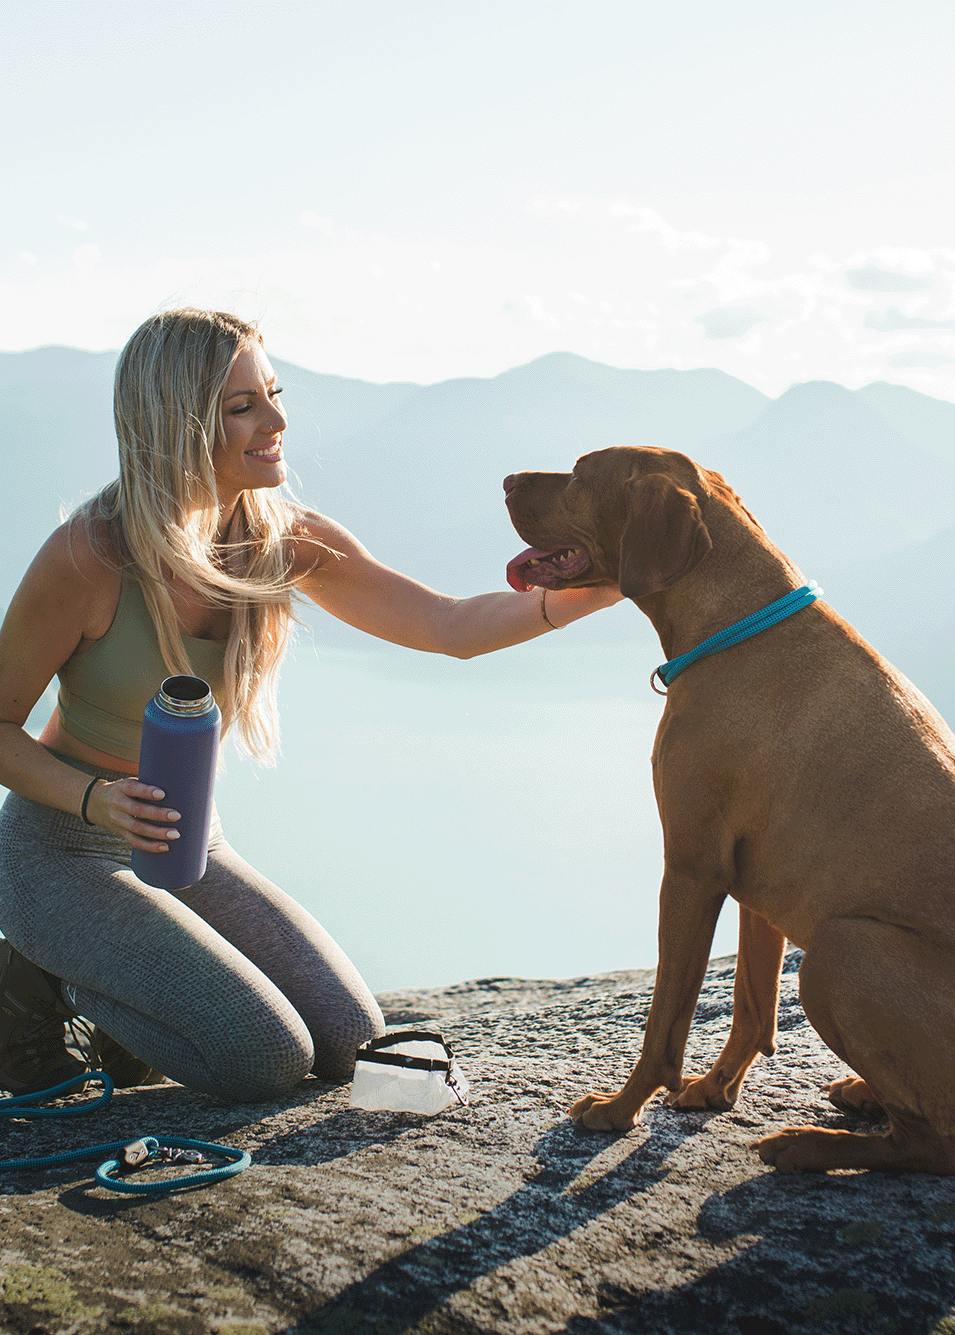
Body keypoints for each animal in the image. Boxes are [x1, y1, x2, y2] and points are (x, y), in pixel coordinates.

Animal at [504, 445, 950, 1169]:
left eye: (580, 471)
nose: (507, 480)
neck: (737, 628)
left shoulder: (690, 867)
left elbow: (665, 1021)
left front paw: (620, 1110)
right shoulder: (755, 886)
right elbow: (752, 1006)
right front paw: (716, 1089)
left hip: (843, 946)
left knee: (932, 1145)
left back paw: (806, 1145)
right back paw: (859, 1096)